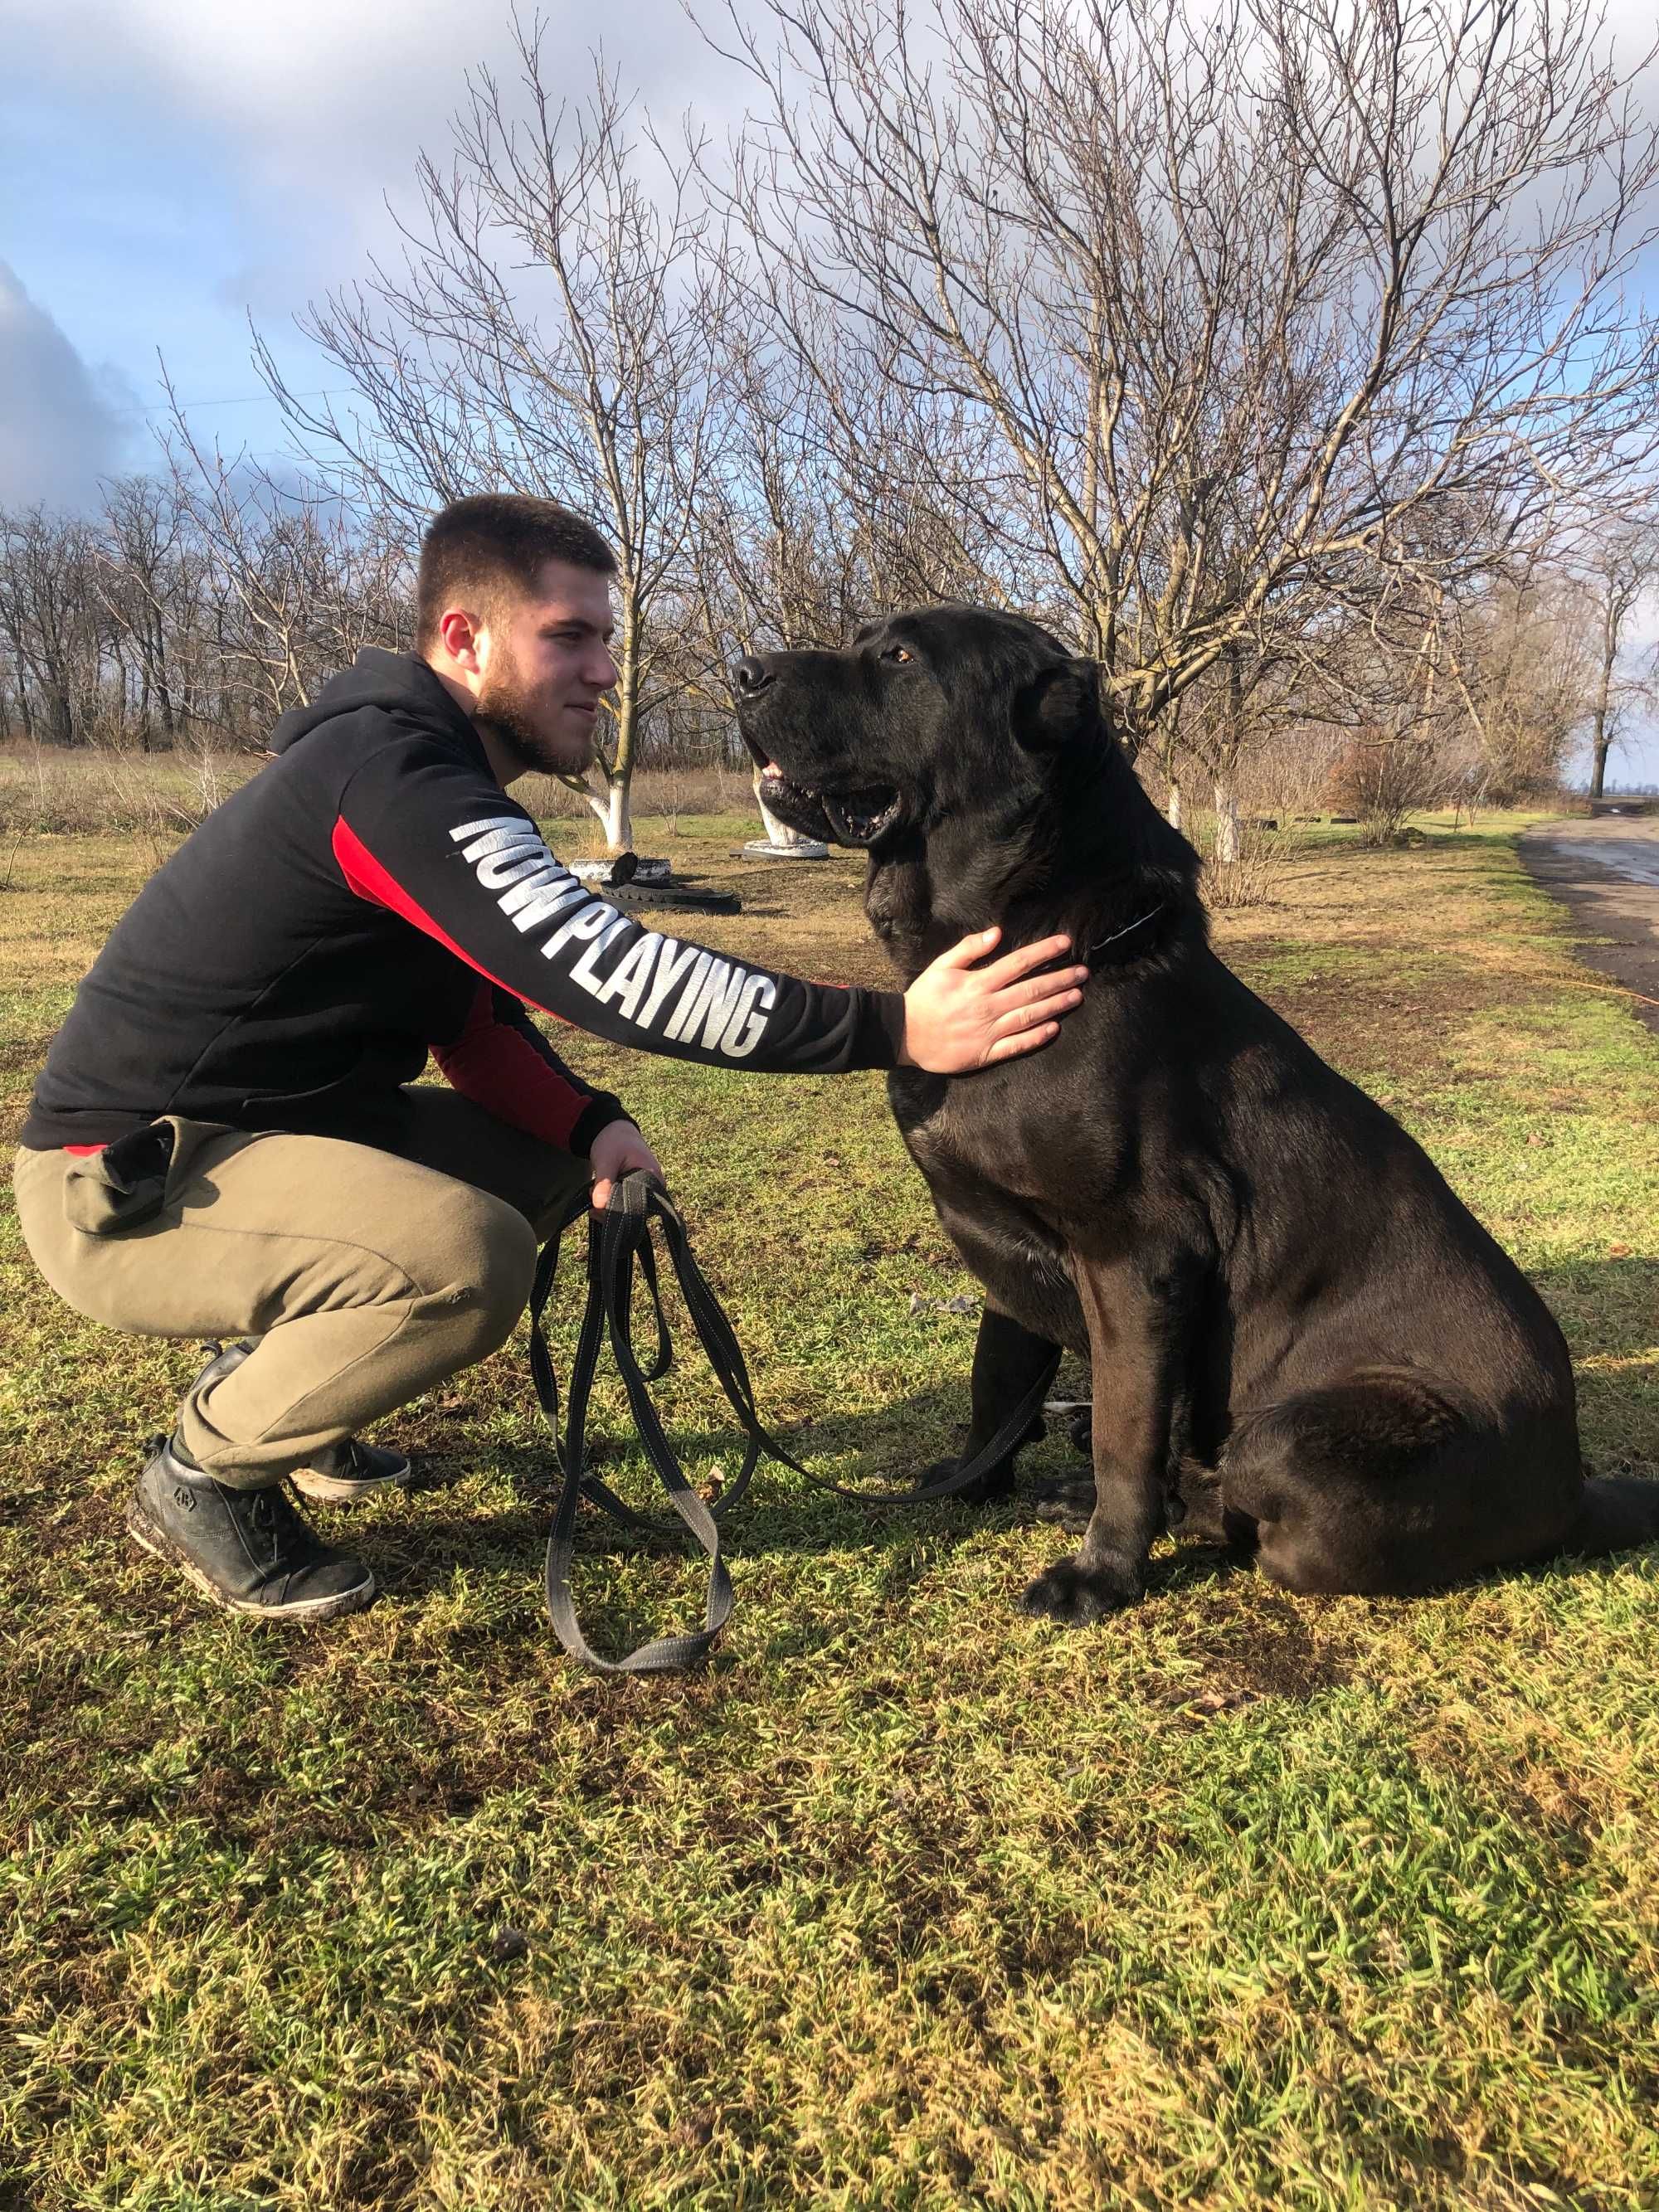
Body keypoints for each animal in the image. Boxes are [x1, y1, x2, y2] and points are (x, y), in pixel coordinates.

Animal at [738, 605, 1659, 1627]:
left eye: (898, 657)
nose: (742, 672)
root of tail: (1574, 1488)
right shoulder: (998, 1246)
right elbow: (995, 1385)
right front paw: (972, 1485)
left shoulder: (1136, 1257)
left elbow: (1123, 1438)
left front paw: (1101, 1573)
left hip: (1295, 1436)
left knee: (1258, 1518)